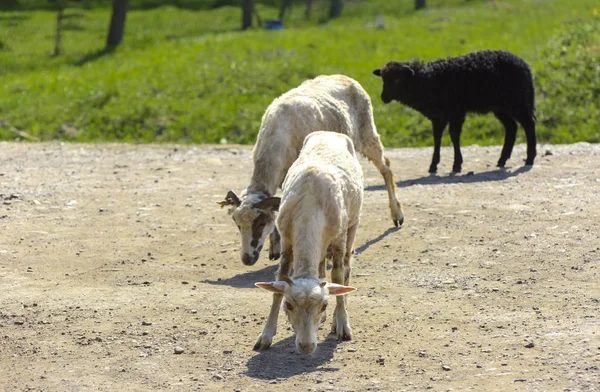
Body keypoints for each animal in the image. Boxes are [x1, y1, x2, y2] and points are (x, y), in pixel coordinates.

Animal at [219, 74, 404, 266]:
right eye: (237, 224)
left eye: (260, 223)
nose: (247, 259)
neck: (276, 136)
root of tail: (343, 76)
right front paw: (275, 246)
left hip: (367, 132)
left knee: (386, 168)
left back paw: (397, 214)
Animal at [252, 132, 360, 356]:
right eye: (288, 305)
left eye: (324, 305)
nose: (307, 346)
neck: (310, 209)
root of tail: (329, 133)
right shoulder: (286, 241)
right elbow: (280, 280)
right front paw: (265, 335)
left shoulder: (339, 239)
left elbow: (338, 275)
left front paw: (342, 324)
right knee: (320, 268)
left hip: (352, 225)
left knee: (346, 270)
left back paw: (338, 318)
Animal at [372, 49, 536, 172]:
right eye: (383, 79)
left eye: (397, 79)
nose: (383, 97)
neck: (427, 81)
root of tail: (525, 66)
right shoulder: (438, 117)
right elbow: (437, 138)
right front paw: (433, 165)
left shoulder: (456, 113)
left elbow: (454, 136)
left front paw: (456, 165)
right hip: (501, 107)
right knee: (511, 127)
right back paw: (502, 160)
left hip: (517, 101)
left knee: (528, 124)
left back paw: (529, 158)